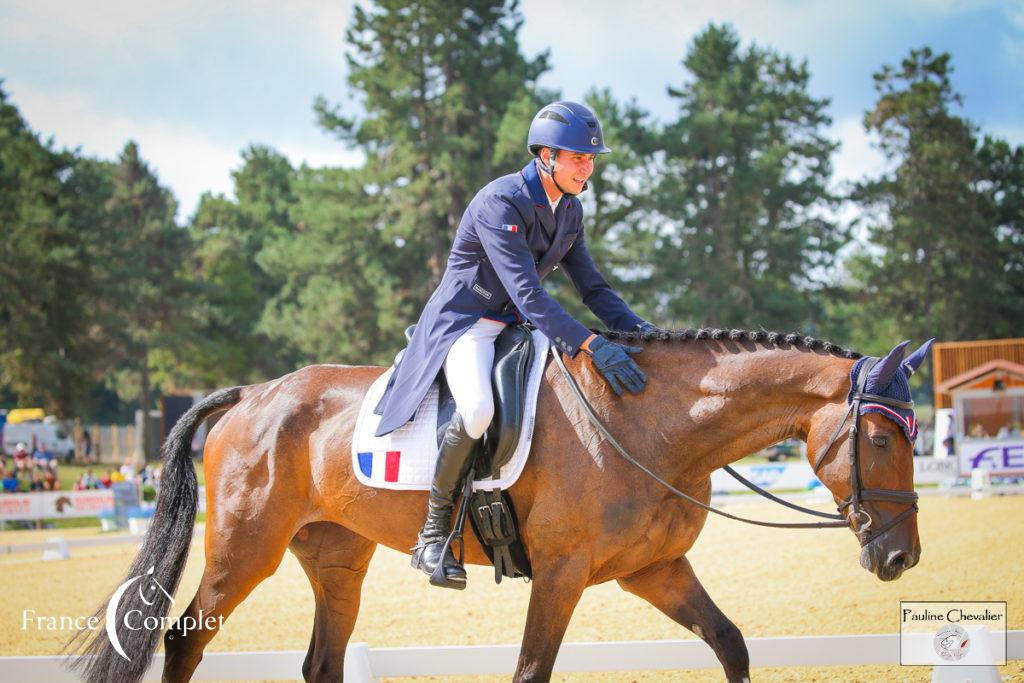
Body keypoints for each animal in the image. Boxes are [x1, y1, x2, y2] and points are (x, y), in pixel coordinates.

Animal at [68, 327, 925, 679]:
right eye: (880, 437)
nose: (901, 555)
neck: (648, 423)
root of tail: (252, 393)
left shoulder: (654, 568)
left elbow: (731, 643)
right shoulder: (563, 573)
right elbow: (530, 670)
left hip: (337, 559)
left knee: (322, 661)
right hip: (245, 550)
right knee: (183, 642)